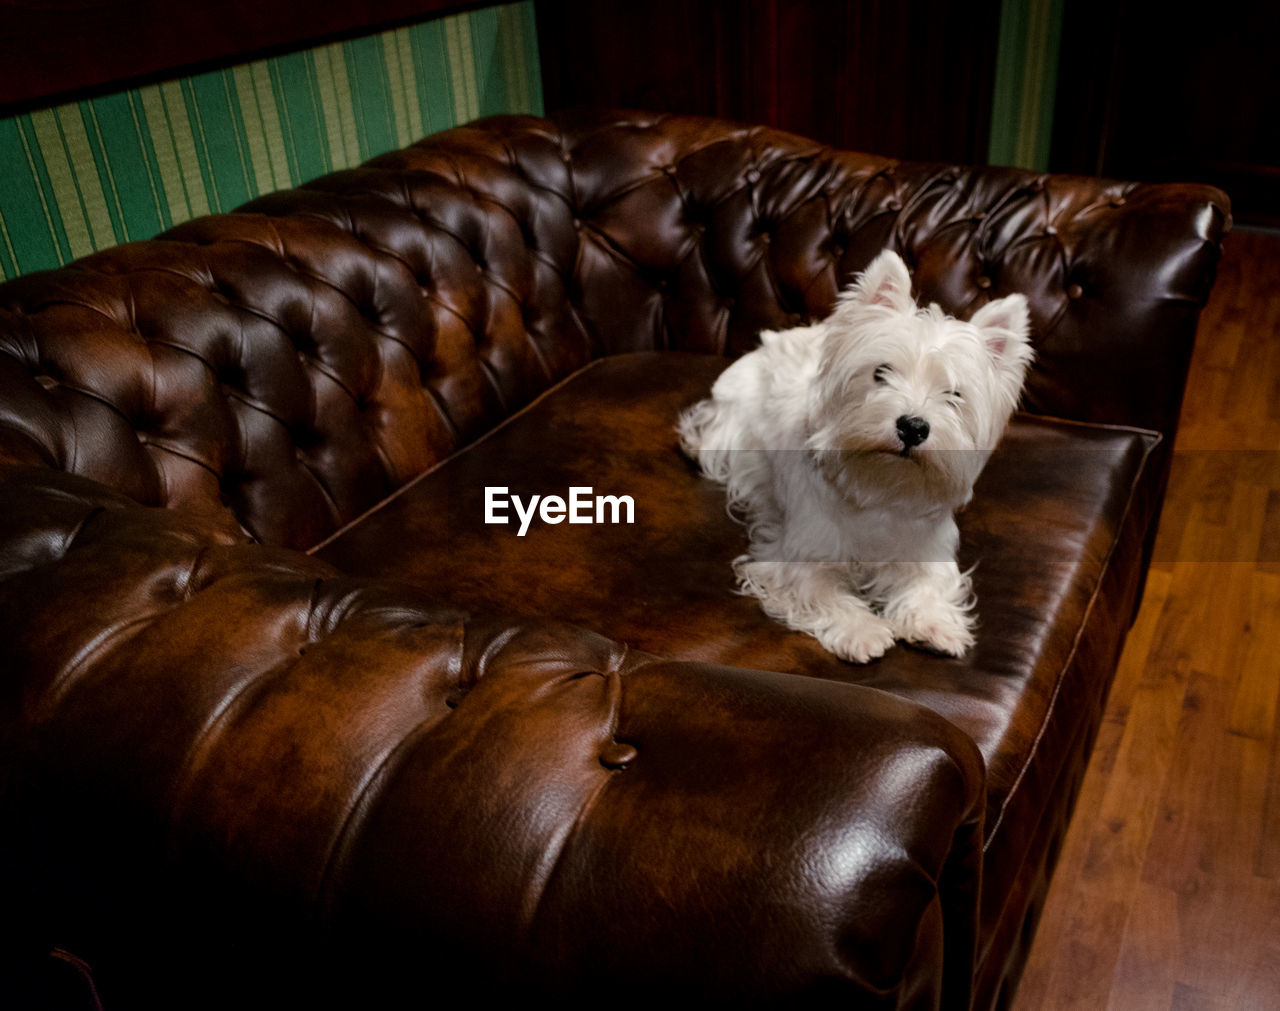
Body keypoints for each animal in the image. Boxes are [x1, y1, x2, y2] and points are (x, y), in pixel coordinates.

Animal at [675, 249, 1034, 665]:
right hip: (729, 423)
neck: (879, 487)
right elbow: (823, 591)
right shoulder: (799, 554)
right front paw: (863, 632)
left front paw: (934, 626)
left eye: (953, 394)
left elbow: (928, 585)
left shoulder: (927, 550)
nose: (913, 427)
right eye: (881, 372)